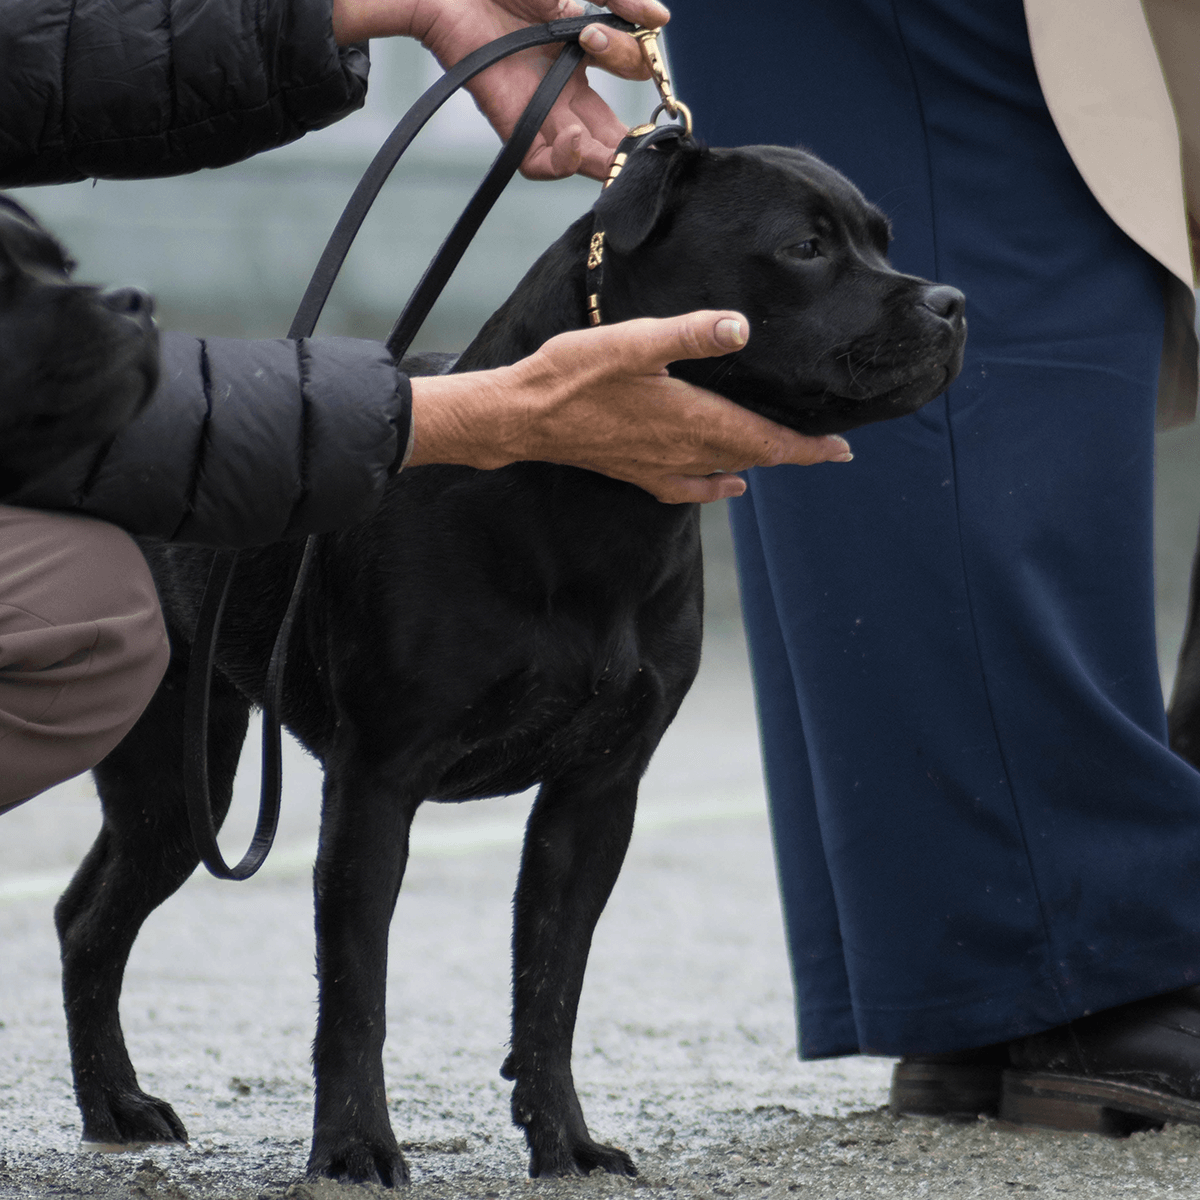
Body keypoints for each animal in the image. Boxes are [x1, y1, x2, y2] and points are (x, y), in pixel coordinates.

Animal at [60, 136, 969, 1185]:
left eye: (881, 239)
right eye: (806, 247)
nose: (951, 303)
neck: (591, 506)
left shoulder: (595, 794)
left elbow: (550, 987)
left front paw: (563, 1139)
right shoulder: (376, 784)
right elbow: (357, 993)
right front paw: (354, 1147)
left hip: (184, 783)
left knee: (87, 914)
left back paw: (115, 1104)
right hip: (177, 768)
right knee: (97, 918)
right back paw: (116, 1104)